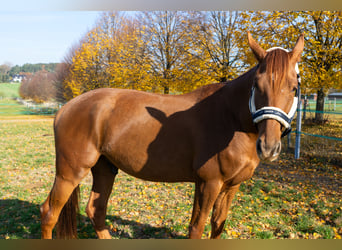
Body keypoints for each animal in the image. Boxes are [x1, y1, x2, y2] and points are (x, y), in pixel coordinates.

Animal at [40, 32, 304, 238]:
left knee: (96, 210)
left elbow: (217, 225)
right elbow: (196, 227)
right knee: (49, 213)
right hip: (69, 173)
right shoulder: (209, 183)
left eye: (293, 88)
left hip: (104, 168)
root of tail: (65, 108)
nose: (268, 147)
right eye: (257, 86)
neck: (230, 119)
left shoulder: (231, 186)